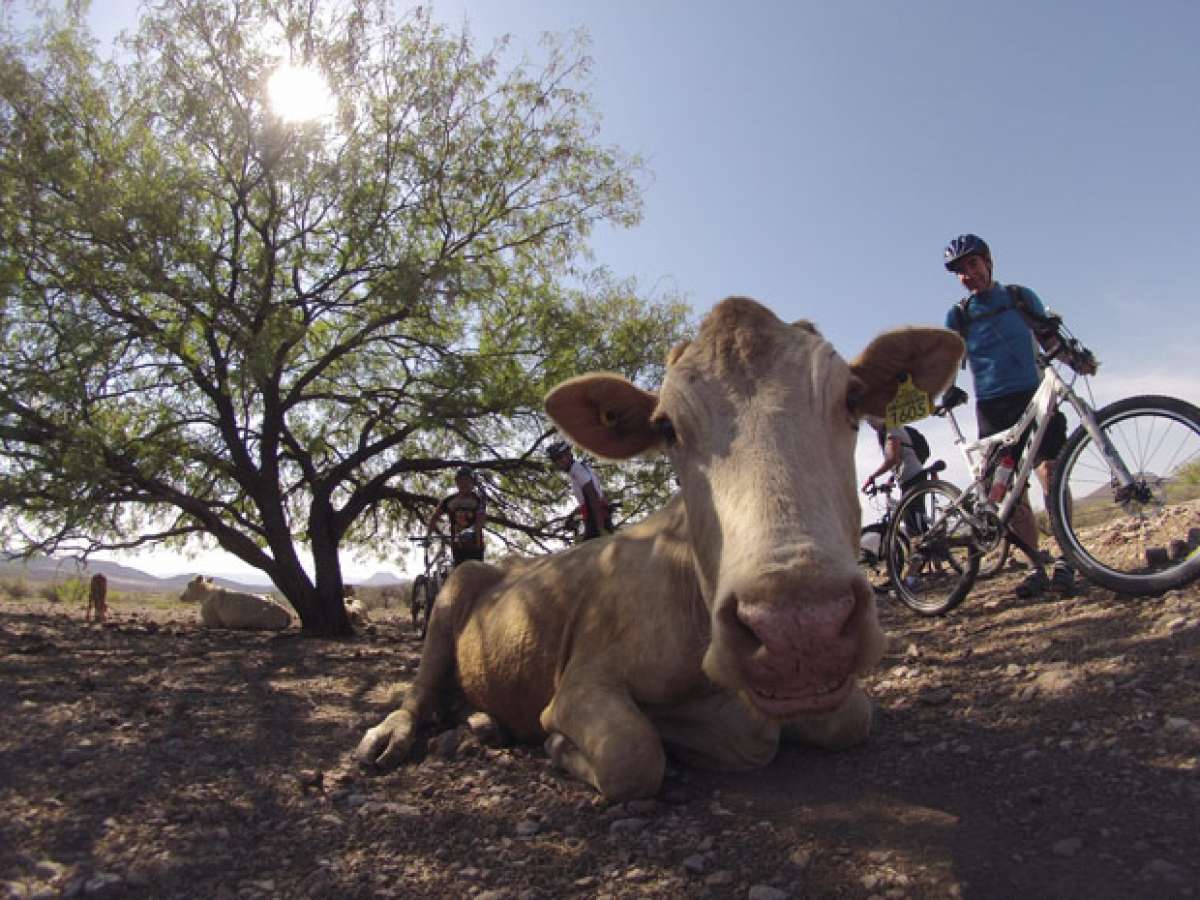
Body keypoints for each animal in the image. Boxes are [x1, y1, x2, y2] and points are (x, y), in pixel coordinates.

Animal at [355, 297, 964, 801]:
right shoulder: (582, 682)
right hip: (453, 592)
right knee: (418, 693)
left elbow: (851, 717)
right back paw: (396, 735)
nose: (798, 627)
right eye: (667, 427)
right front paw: (560, 746)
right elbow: (634, 756)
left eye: (852, 398)